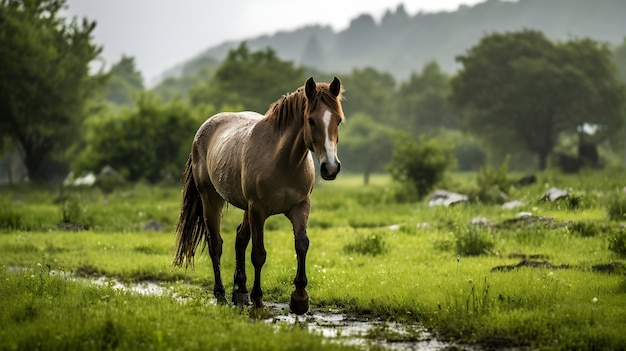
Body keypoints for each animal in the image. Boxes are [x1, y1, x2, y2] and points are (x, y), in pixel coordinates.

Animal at [173, 77, 344, 316]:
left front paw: (299, 299)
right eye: (310, 120)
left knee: (239, 238)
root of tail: (204, 129)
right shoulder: (258, 210)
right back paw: (221, 295)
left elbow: (301, 244)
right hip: (212, 199)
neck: (283, 161)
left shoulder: (300, 207)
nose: (331, 168)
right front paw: (258, 299)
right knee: (215, 243)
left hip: (246, 208)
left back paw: (240, 292)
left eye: (338, 120)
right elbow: (258, 254)